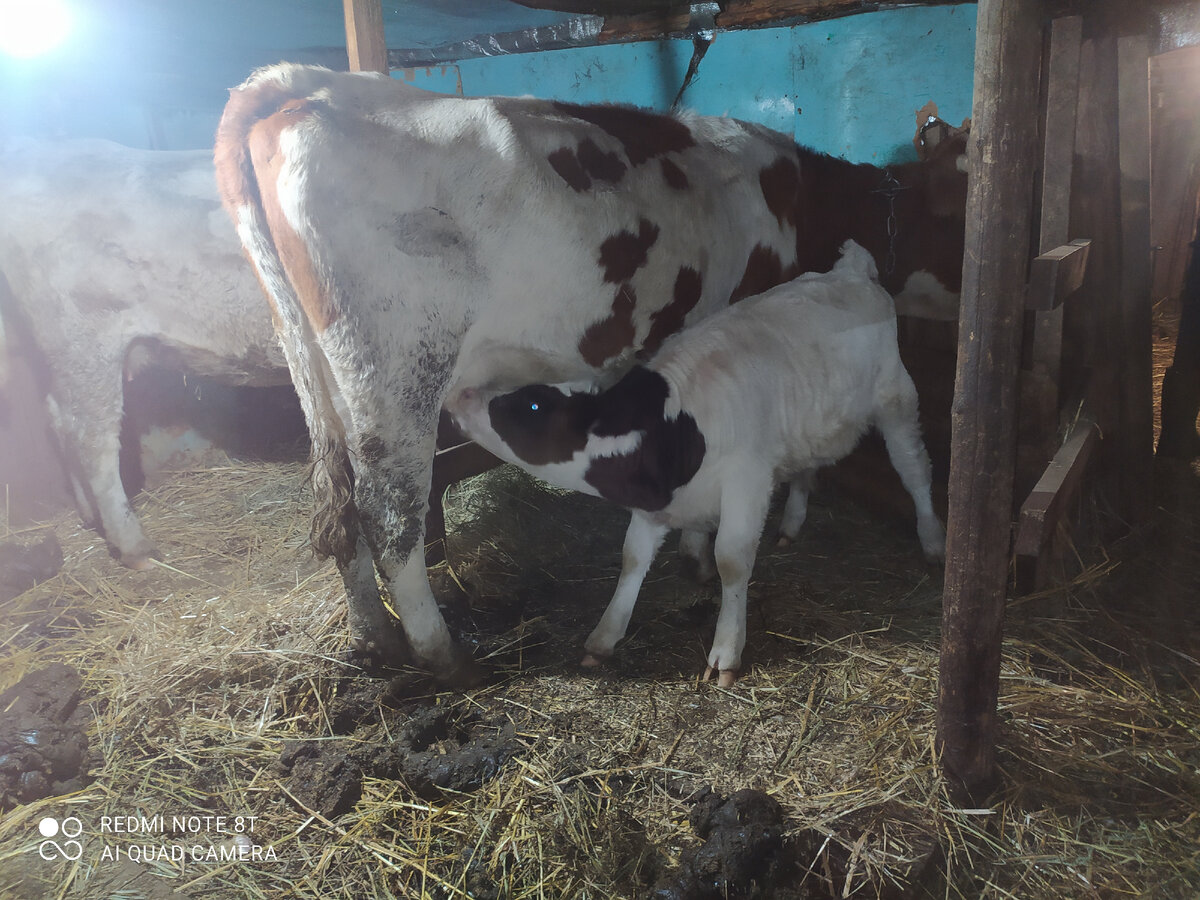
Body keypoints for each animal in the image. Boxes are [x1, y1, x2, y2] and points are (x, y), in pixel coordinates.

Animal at [451, 243, 945, 686]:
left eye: (534, 405)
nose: (462, 394)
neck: (671, 430)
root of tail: (851, 271)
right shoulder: (656, 504)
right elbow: (632, 558)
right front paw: (605, 636)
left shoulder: (748, 481)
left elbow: (731, 560)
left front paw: (726, 650)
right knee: (808, 468)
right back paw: (792, 523)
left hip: (897, 400)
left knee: (915, 470)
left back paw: (933, 541)